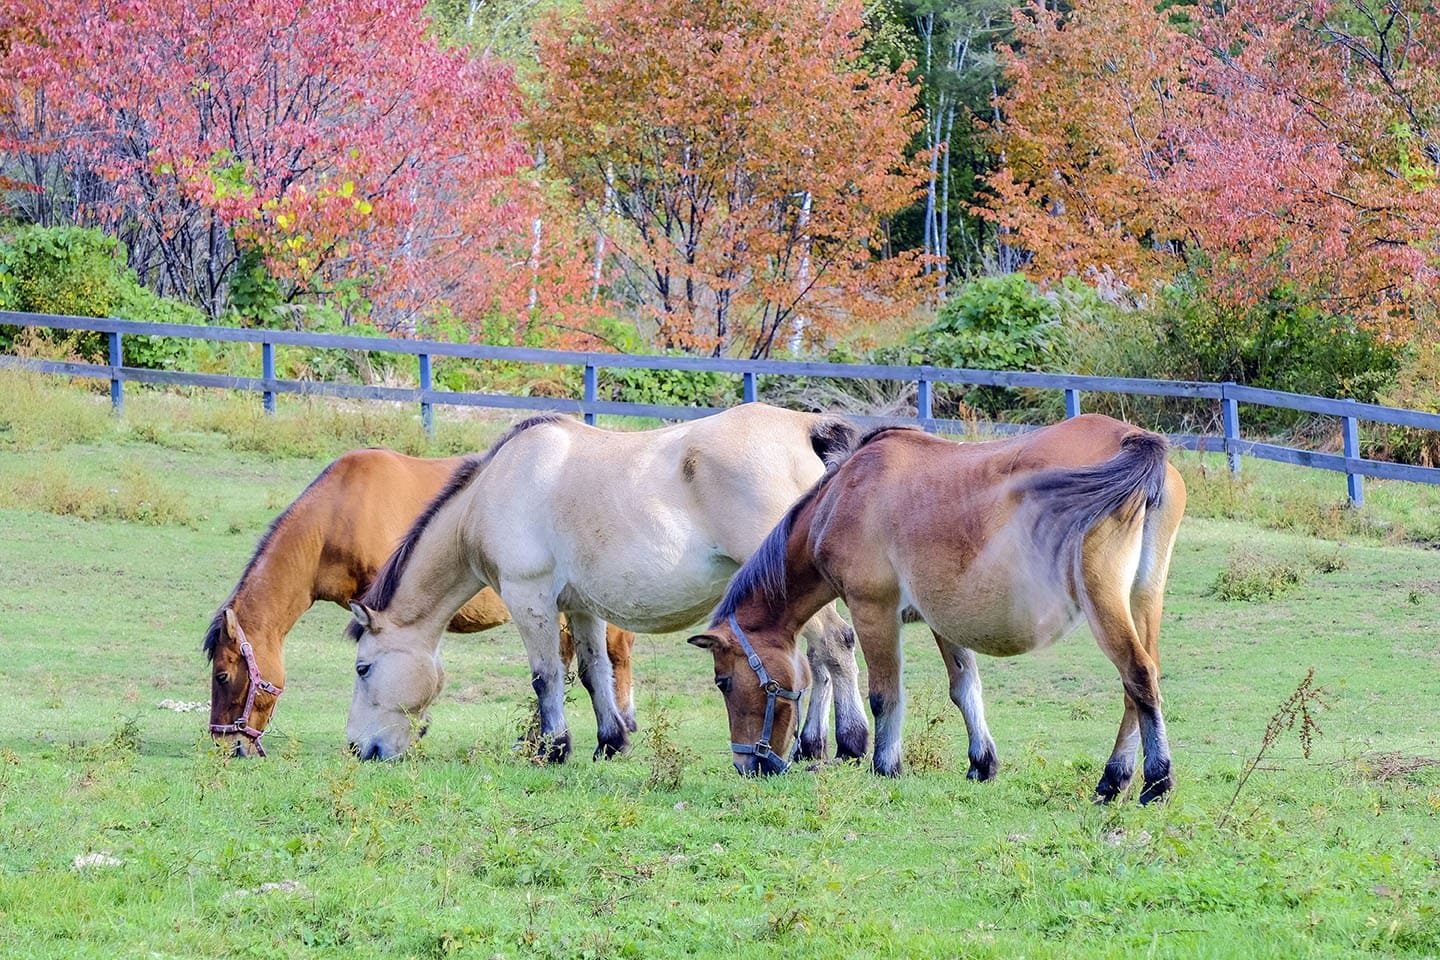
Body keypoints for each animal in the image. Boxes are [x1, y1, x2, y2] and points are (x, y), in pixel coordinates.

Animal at [344, 403, 869, 763]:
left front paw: (552, 748)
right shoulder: (580, 607)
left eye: (363, 668)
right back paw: (810, 746)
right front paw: (610, 742)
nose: (356, 749)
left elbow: (546, 675)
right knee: (818, 659)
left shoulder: (529, 596)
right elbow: (594, 673)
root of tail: (804, 428)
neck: (495, 489)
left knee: (834, 646)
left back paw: (850, 744)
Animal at [688, 414, 1186, 803]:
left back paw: (1155, 781)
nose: (748, 766)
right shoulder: (943, 621)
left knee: (1138, 674)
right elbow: (965, 688)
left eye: (724, 683)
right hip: (1142, 601)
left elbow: (885, 694)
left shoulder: (873, 609)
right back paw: (1115, 779)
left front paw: (885, 765)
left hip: (1104, 601)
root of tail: (1133, 440)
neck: (846, 493)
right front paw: (981, 763)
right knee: (1139, 685)